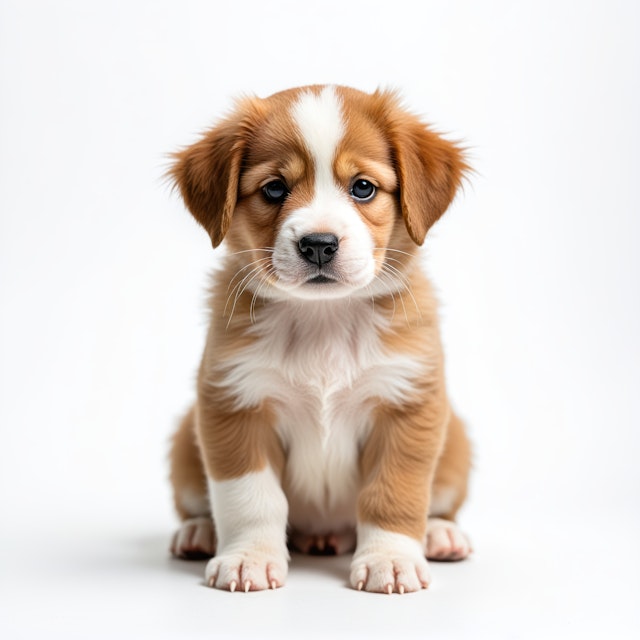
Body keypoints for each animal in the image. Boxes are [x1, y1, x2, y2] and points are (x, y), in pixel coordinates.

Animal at [168, 85, 472, 596]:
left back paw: (439, 534)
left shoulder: (407, 407)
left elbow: (395, 492)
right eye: (274, 188)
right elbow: (250, 497)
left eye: (363, 187)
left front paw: (390, 559)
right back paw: (199, 532)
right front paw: (249, 558)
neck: (323, 320)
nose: (318, 244)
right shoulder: (234, 404)